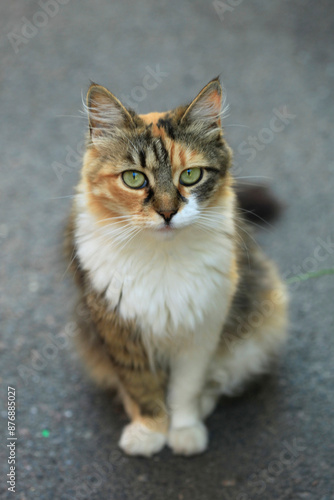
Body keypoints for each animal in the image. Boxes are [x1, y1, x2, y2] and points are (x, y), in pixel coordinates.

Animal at [65, 78, 288, 458]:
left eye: (191, 175)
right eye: (134, 179)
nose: (168, 213)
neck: (163, 256)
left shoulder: (202, 328)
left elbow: (186, 388)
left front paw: (184, 431)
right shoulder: (120, 328)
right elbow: (142, 389)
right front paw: (149, 432)